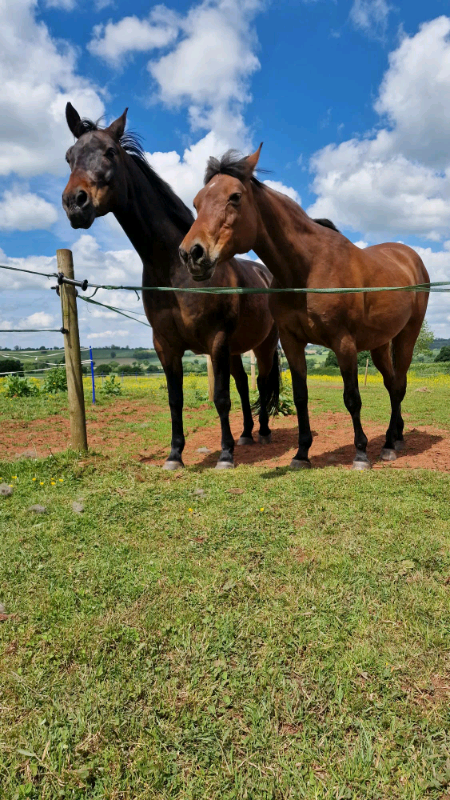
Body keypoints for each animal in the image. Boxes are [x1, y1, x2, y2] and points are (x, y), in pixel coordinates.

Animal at [62, 106, 281, 470]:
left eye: (109, 152)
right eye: (69, 156)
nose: (74, 203)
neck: (174, 270)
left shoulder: (216, 341)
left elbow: (221, 398)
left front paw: (225, 454)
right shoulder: (165, 345)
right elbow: (175, 400)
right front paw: (175, 454)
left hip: (263, 345)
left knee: (263, 383)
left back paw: (262, 432)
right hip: (236, 350)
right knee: (244, 384)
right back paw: (247, 434)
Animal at [179, 145, 430, 470]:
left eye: (235, 196)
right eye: (197, 202)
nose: (191, 253)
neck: (308, 270)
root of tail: (410, 257)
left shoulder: (344, 343)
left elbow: (352, 397)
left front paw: (360, 453)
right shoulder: (292, 341)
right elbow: (300, 396)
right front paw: (301, 453)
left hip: (406, 336)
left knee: (398, 385)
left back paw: (387, 444)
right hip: (379, 344)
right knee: (391, 384)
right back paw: (395, 437)